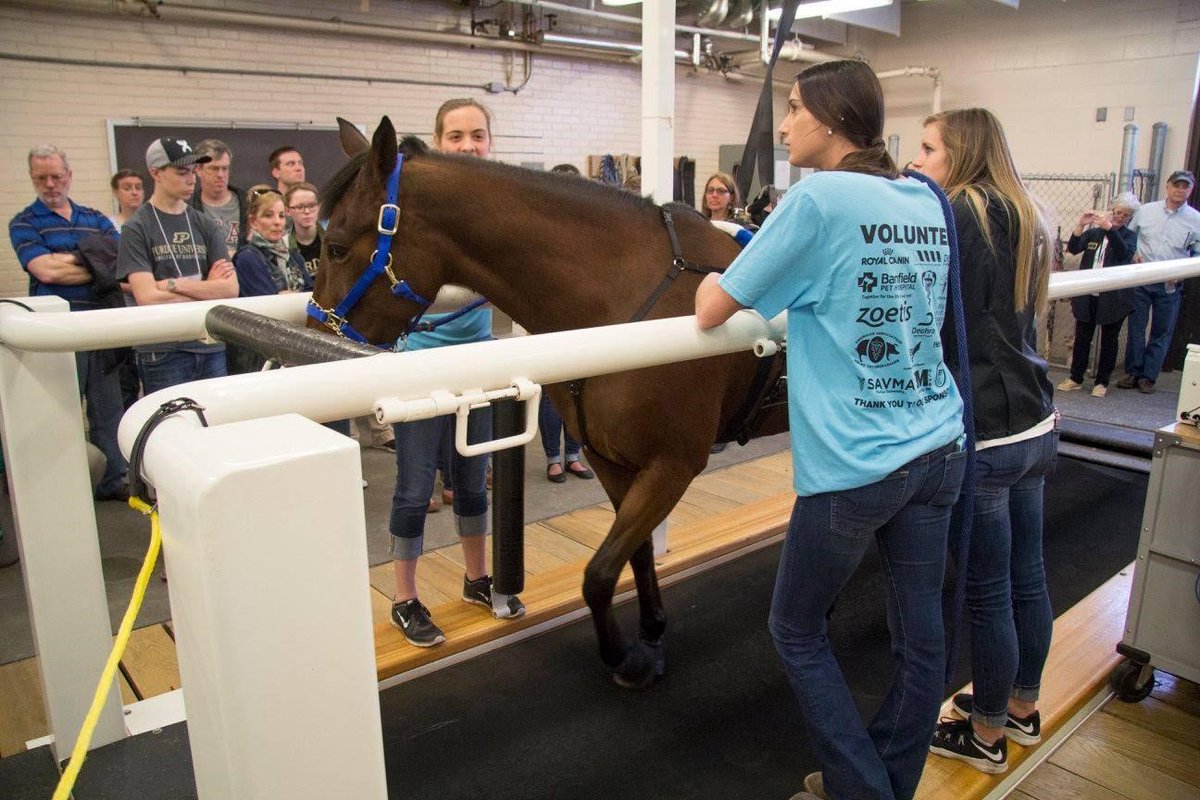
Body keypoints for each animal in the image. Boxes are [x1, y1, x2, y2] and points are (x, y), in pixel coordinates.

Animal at [310, 116, 785, 688]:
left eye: (337, 247)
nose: (312, 339)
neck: (624, 298)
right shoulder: (611, 460)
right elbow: (636, 555)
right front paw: (650, 636)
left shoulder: (673, 465)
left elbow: (599, 573)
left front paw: (623, 657)